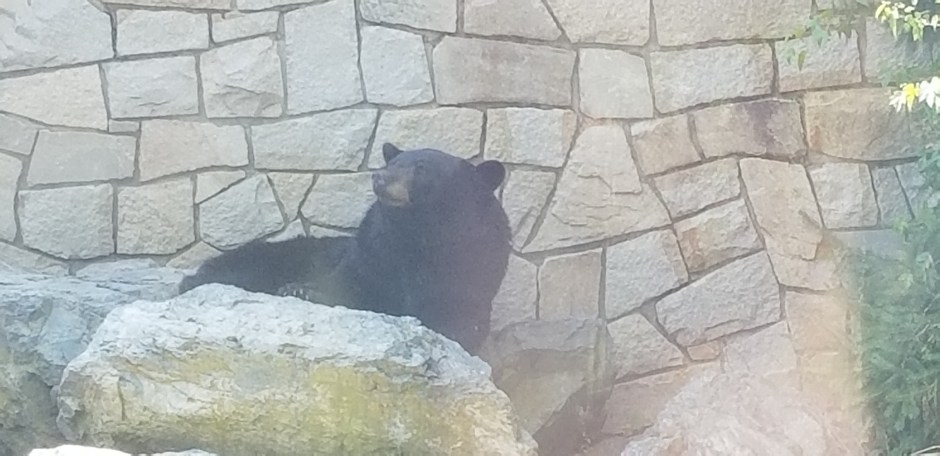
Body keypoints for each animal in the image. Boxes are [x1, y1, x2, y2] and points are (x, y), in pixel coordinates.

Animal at [178, 143, 511, 354]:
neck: (415, 236)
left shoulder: (472, 265)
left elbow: (459, 315)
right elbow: (347, 281)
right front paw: (301, 290)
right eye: (392, 162)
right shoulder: (374, 252)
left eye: (421, 168)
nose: (380, 177)